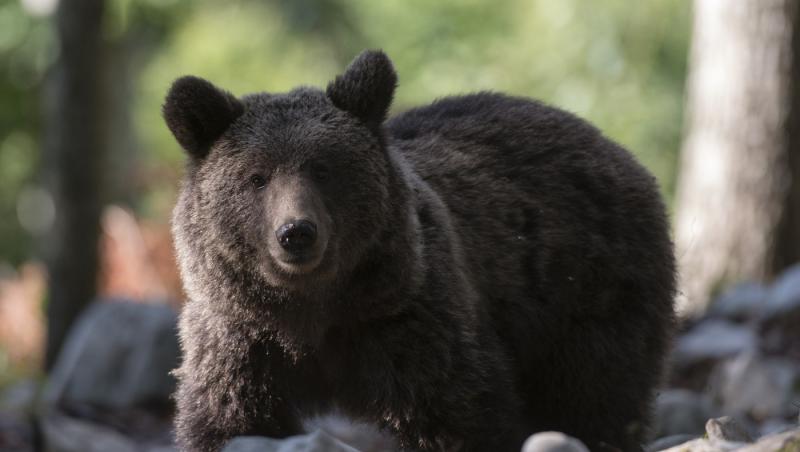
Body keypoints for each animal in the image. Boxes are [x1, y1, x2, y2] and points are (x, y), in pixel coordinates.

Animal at [167, 49, 676, 452]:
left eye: (324, 169)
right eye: (257, 177)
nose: (296, 233)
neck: (312, 309)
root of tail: (607, 142)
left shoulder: (409, 320)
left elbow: (458, 414)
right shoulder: (241, 337)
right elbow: (229, 418)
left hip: (586, 293)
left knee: (596, 393)